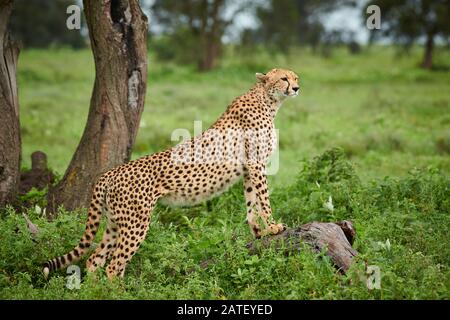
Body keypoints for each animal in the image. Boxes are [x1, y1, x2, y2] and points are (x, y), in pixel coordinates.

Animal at [44, 68, 300, 280]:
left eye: (295, 77)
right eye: (284, 78)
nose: (297, 88)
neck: (267, 100)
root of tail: (110, 173)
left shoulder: (249, 168)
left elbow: (251, 203)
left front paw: (259, 232)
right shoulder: (256, 164)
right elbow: (264, 199)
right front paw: (273, 227)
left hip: (115, 223)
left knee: (94, 259)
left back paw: (96, 290)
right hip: (136, 223)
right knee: (114, 266)